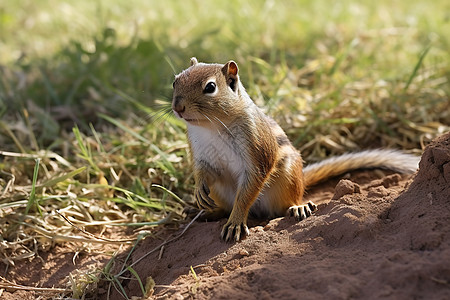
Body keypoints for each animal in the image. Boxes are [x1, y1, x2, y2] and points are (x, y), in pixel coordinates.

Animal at [171, 58, 418, 241]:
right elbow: (202, 172)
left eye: (210, 87)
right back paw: (206, 212)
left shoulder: (256, 155)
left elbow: (248, 191)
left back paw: (298, 208)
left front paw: (236, 222)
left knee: (284, 206)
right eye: (175, 81)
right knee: (224, 205)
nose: (178, 107)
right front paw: (198, 190)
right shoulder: (201, 153)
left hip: (287, 179)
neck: (211, 126)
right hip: (221, 191)